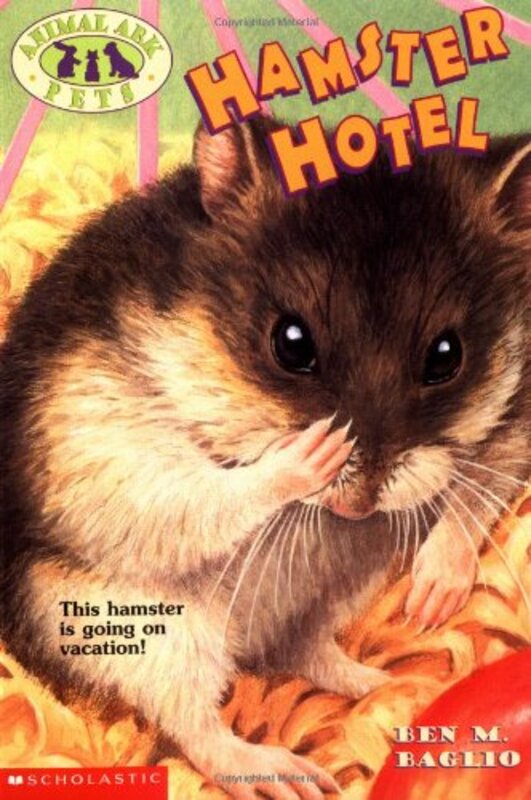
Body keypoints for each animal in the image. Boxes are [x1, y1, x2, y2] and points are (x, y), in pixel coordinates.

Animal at [0, 115, 529, 799]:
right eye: (290, 344)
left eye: (447, 356)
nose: (359, 509)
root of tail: (246, 642)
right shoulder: (100, 443)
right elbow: (200, 494)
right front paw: (310, 453)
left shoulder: (518, 406)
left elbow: (484, 477)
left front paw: (430, 597)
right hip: (142, 634)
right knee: (199, 728)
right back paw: (287, 774)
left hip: (339, 587)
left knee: (302, 651)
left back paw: (389, 687)